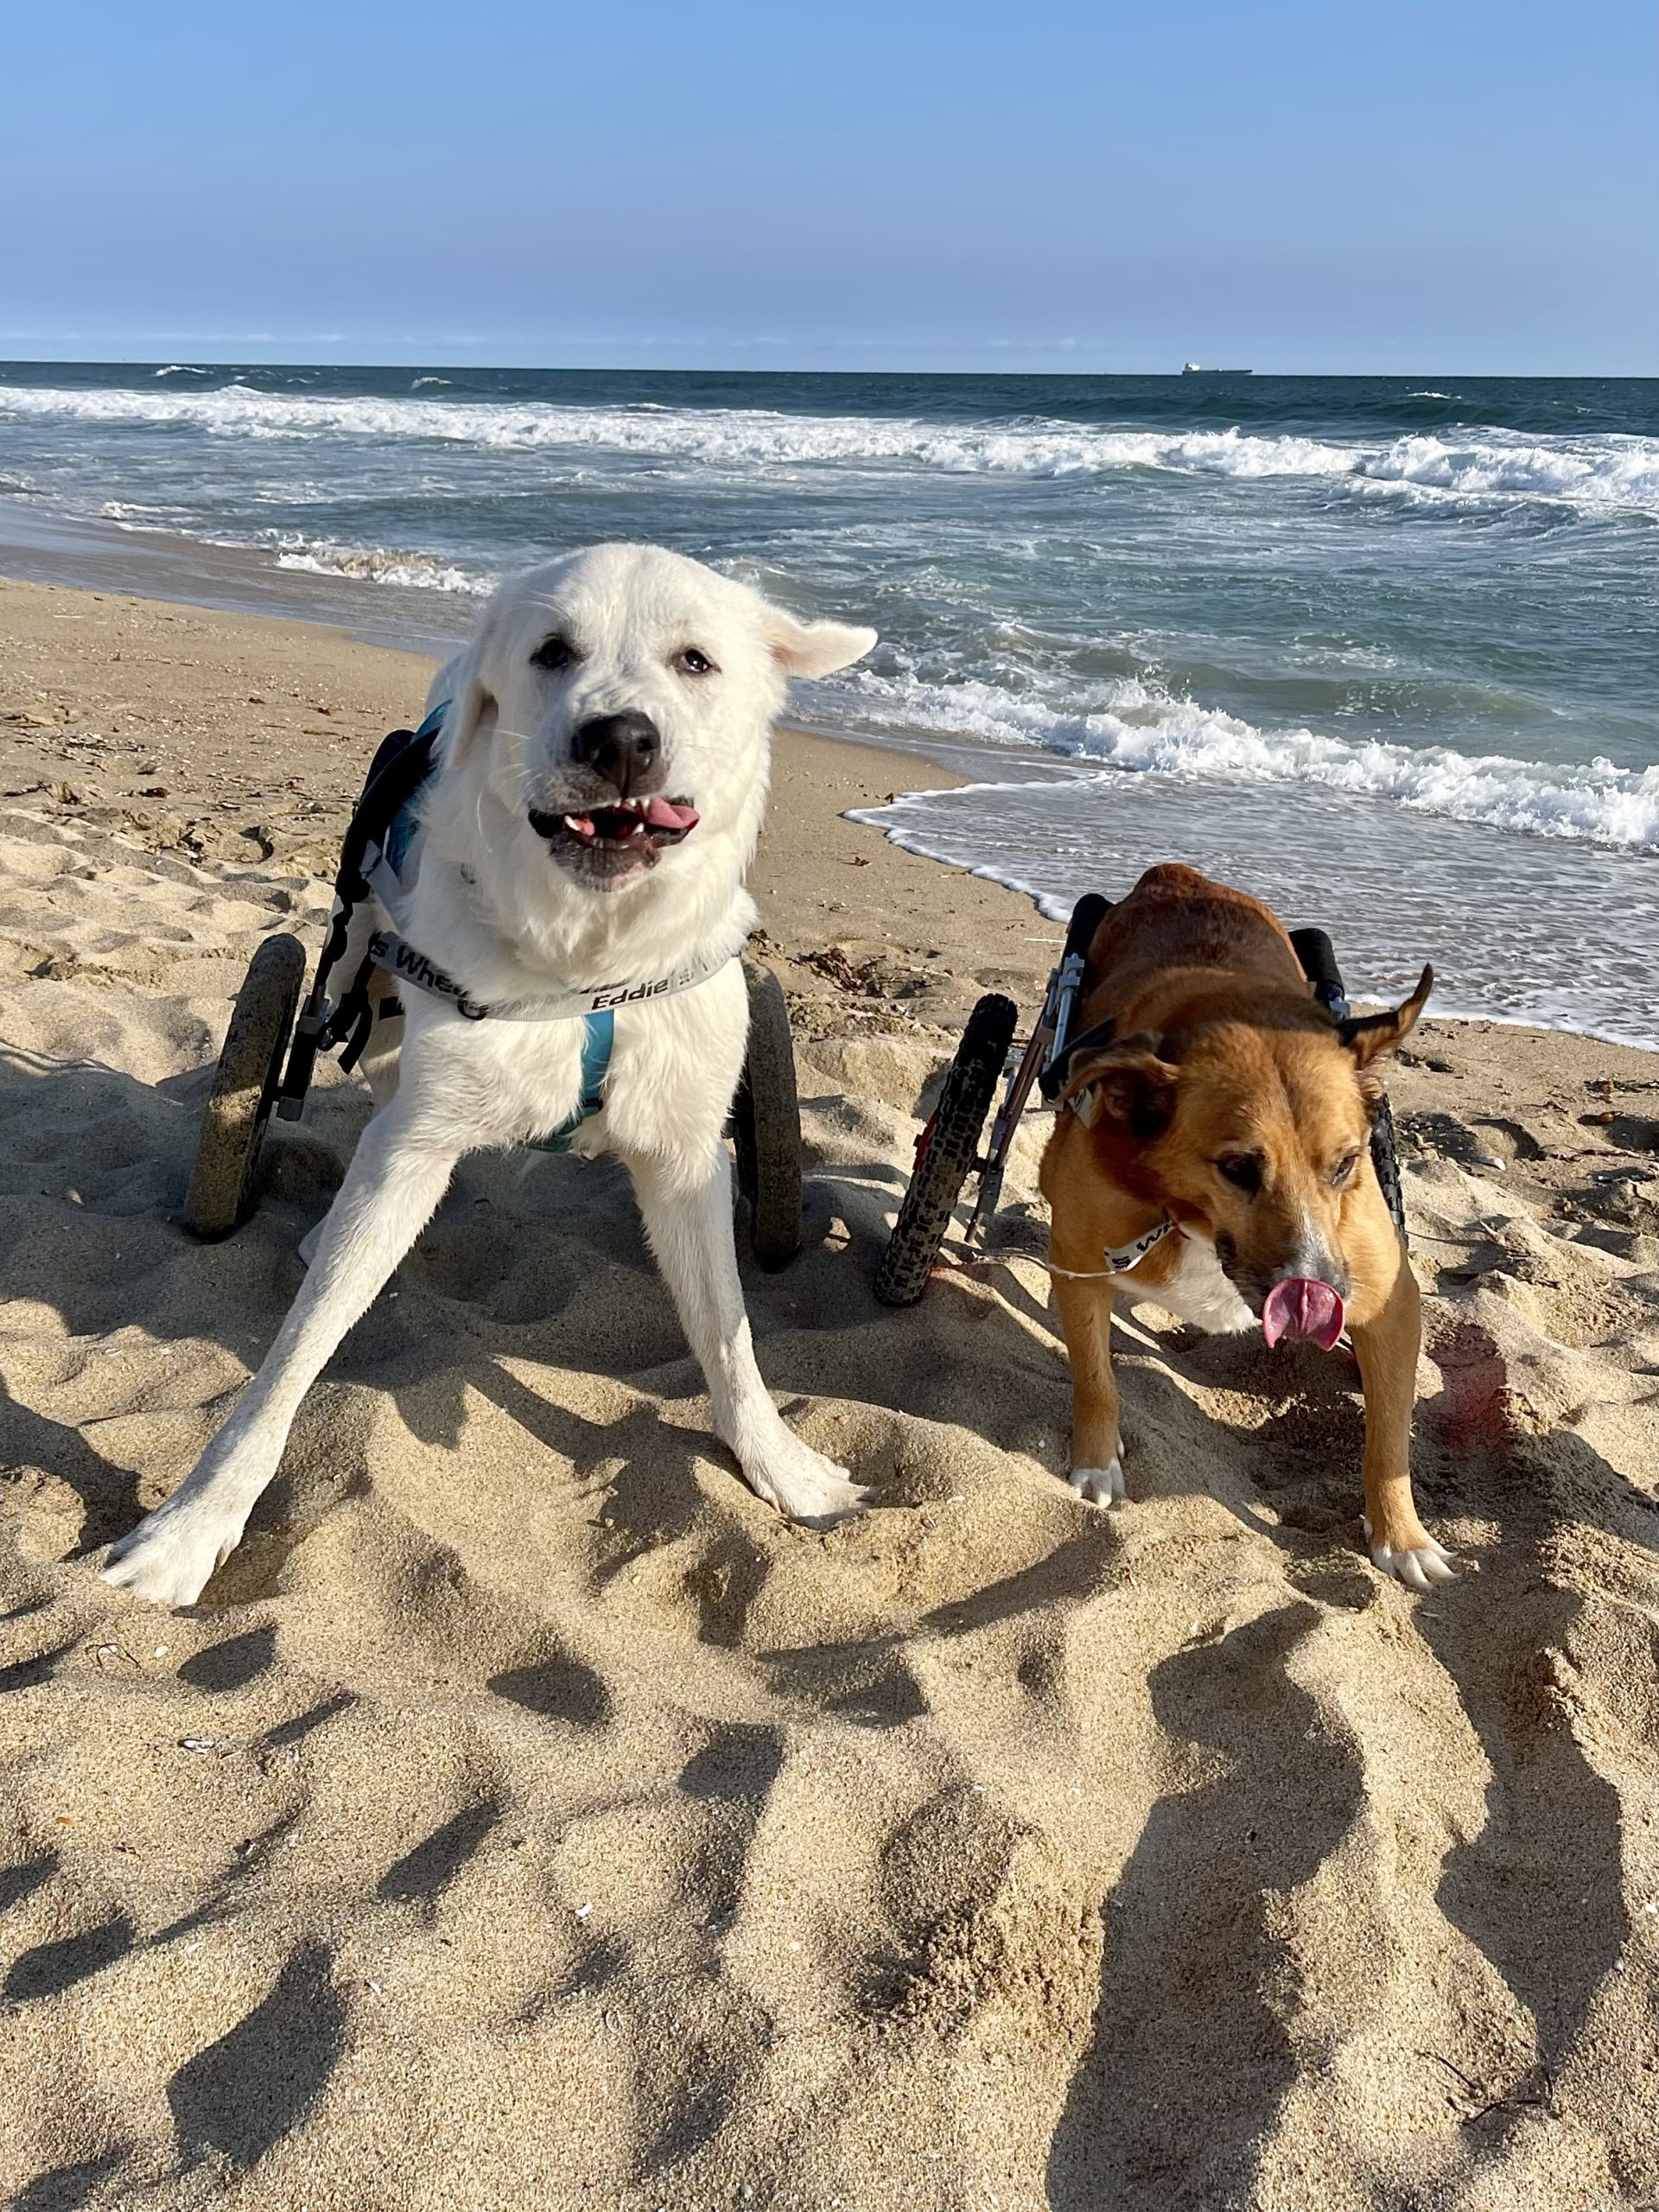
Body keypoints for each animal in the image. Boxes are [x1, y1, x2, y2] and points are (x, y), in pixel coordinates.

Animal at [104, 539, 885, 1610]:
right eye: (553, 652)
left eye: (695, 661)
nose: (621, 740)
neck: (588, 966)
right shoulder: (414, 1139)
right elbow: (293, 1354)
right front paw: (193, 1522)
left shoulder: (686, 1150)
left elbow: (729, 1329)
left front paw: (782, 1466)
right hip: (367, 984)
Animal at [1039, 854, 1451, 1583]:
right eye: (1237, 1168)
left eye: (1347, 1163)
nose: (1321, 1294)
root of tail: (1178, 873)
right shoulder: (1078, 1262)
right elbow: (1096, 1379)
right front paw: (1095, 1463)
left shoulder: (1390, 1300)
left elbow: (1389, 1440)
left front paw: (1402, 1536)